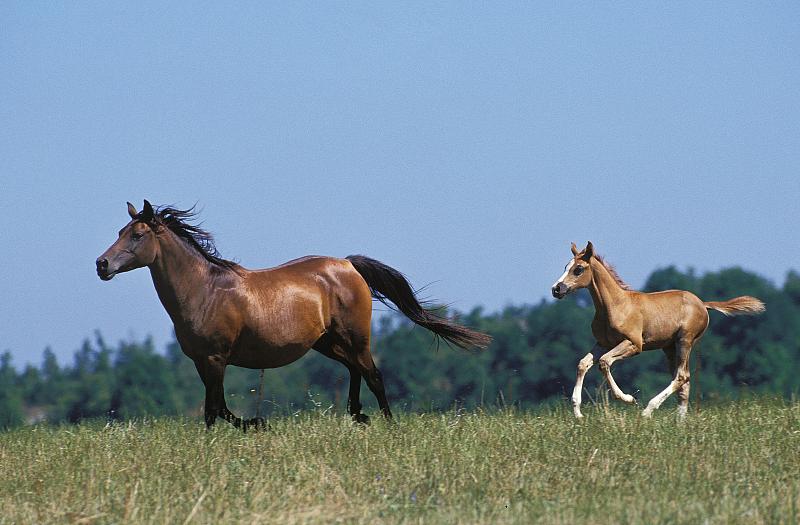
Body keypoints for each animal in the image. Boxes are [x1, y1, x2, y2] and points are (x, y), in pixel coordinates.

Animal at [97, 202, 490, 430]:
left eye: (137, 234)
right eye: (120, 231)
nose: (102, 264)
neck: (205, 290)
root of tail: (349, 265)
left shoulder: (216, 358)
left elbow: (214, 409)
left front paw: (251, 425)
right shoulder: (201, 361)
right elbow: (216, 407)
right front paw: (249, 425)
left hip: (355, 337)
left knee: (374, 374)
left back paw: (387, 424)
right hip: (327, 343)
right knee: (356, 371)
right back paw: (357, 415)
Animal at [552, 242, 764, 418]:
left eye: (578, 269)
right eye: (565, 267)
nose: (556, 289)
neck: (615, 305)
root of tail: (703, 304)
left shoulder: (634, 344)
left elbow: (604, 362)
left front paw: (628, 399)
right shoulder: (603, 343)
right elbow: (583, 364)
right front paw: (578, 413)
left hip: (684, 341)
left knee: (681, 377)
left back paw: (648, 410)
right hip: (669, 348)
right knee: (684, 383)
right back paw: (680, 424)